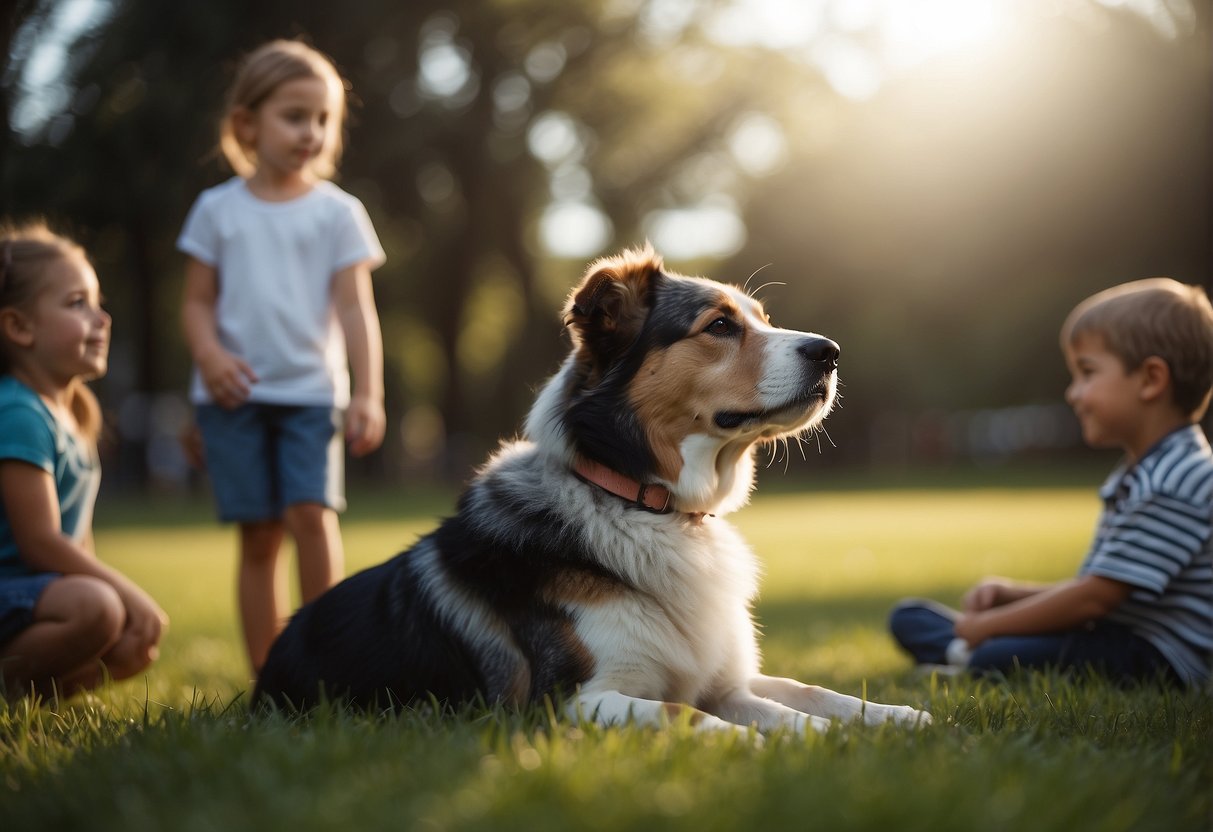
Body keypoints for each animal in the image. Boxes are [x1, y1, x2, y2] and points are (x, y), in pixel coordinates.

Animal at [255, 247, 926, 737]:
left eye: (761, 319)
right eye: (719, 326)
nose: (831, 352)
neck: (645, 504)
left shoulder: (727, 682)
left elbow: (807, 694)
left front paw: (896, 717)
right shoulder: (567, 700)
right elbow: (687, 713)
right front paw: (763, 744)